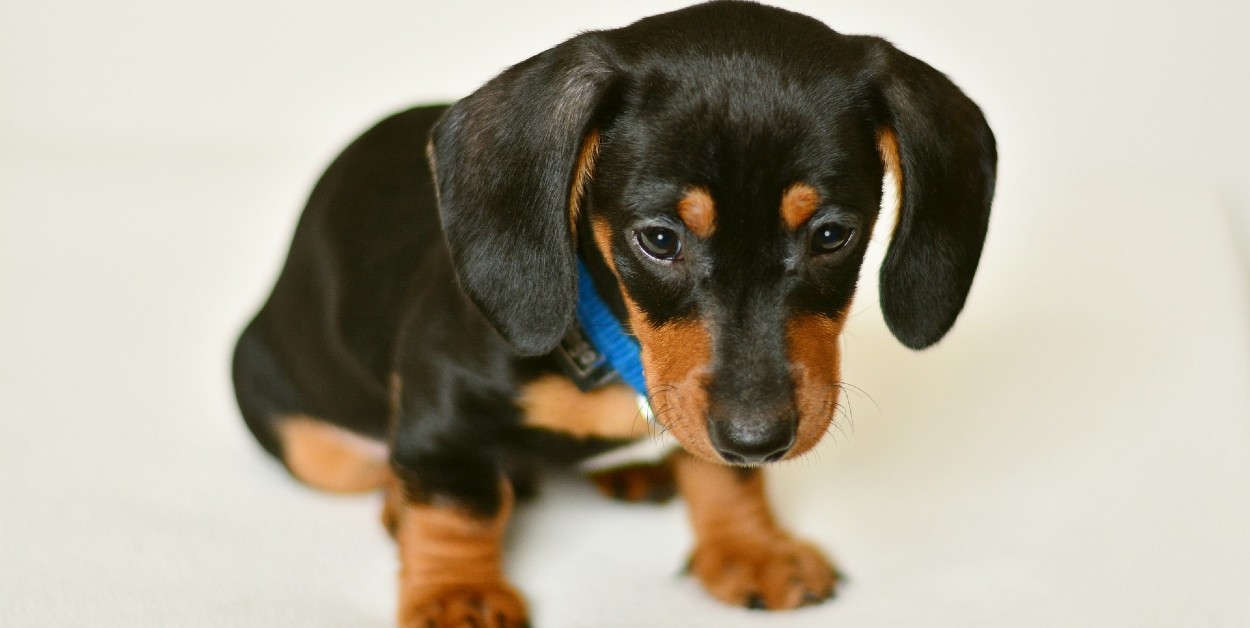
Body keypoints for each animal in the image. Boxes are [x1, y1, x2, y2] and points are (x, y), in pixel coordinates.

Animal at [232, 2, 995, 625]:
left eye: (832, 234)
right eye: (658, 239)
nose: (759, 438)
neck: (615, 341)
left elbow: (722, 474)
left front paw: (750, 548)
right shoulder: (441, 394)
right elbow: (456, 504)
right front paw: (457, 594)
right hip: (311, 442)